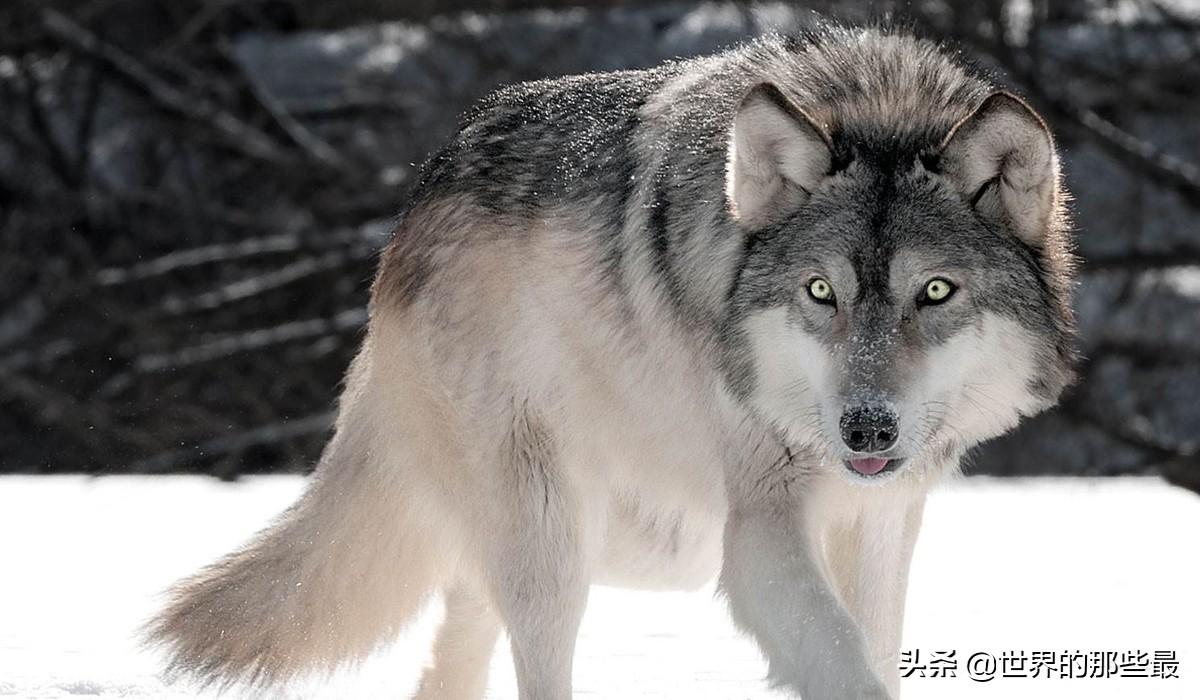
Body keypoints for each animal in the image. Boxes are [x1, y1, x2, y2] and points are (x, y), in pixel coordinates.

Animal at [147, 21, 1080, 700]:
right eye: (821, 292)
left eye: (935, 292)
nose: (865, 428)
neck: (877, 104)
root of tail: (411, 212)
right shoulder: (760, 532)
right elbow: (844, 664)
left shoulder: (882, 521)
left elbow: (874, 650)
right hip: (557, 536)